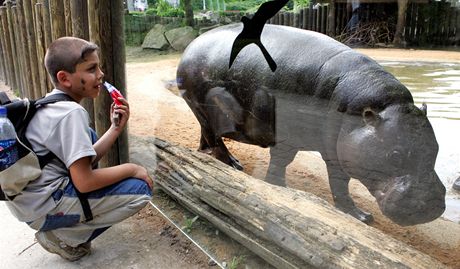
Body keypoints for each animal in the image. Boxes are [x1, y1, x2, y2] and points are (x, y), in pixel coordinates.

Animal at [174, 23, 444, 225]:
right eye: (395, 154)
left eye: (436, 149)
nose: (431, 205)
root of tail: (191, 45)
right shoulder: (290, 139)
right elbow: (285, 164)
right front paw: (278, 187)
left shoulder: (335, 150)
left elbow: (339, 183)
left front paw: (361, 216)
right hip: (200, 105)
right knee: (215, 138)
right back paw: (232, 165)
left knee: (206, 133)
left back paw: (205, 153)